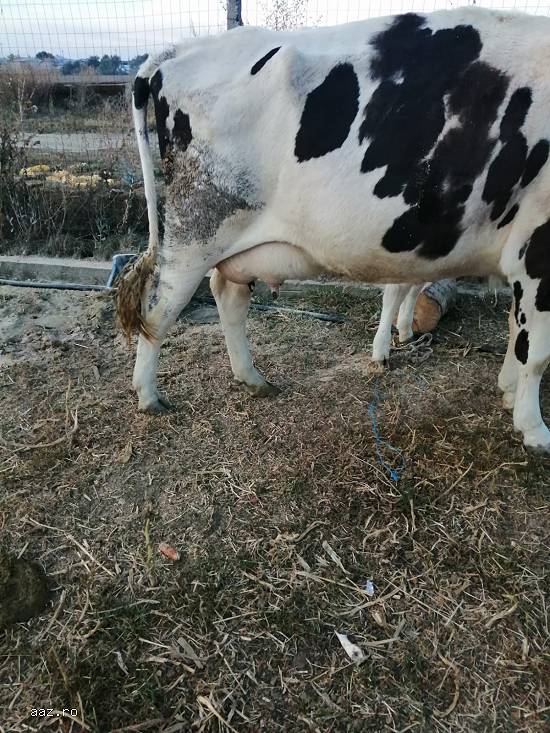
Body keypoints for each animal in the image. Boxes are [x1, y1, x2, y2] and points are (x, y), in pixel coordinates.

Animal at [117, 8, 550, 452]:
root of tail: (180, 50)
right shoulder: (537, 249)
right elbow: (535, 351)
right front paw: (534, 428)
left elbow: (515, 330)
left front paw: (508, 391)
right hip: (196, 227)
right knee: (159, 306)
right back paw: (149, 396)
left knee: (227, 295)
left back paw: (253, 379)